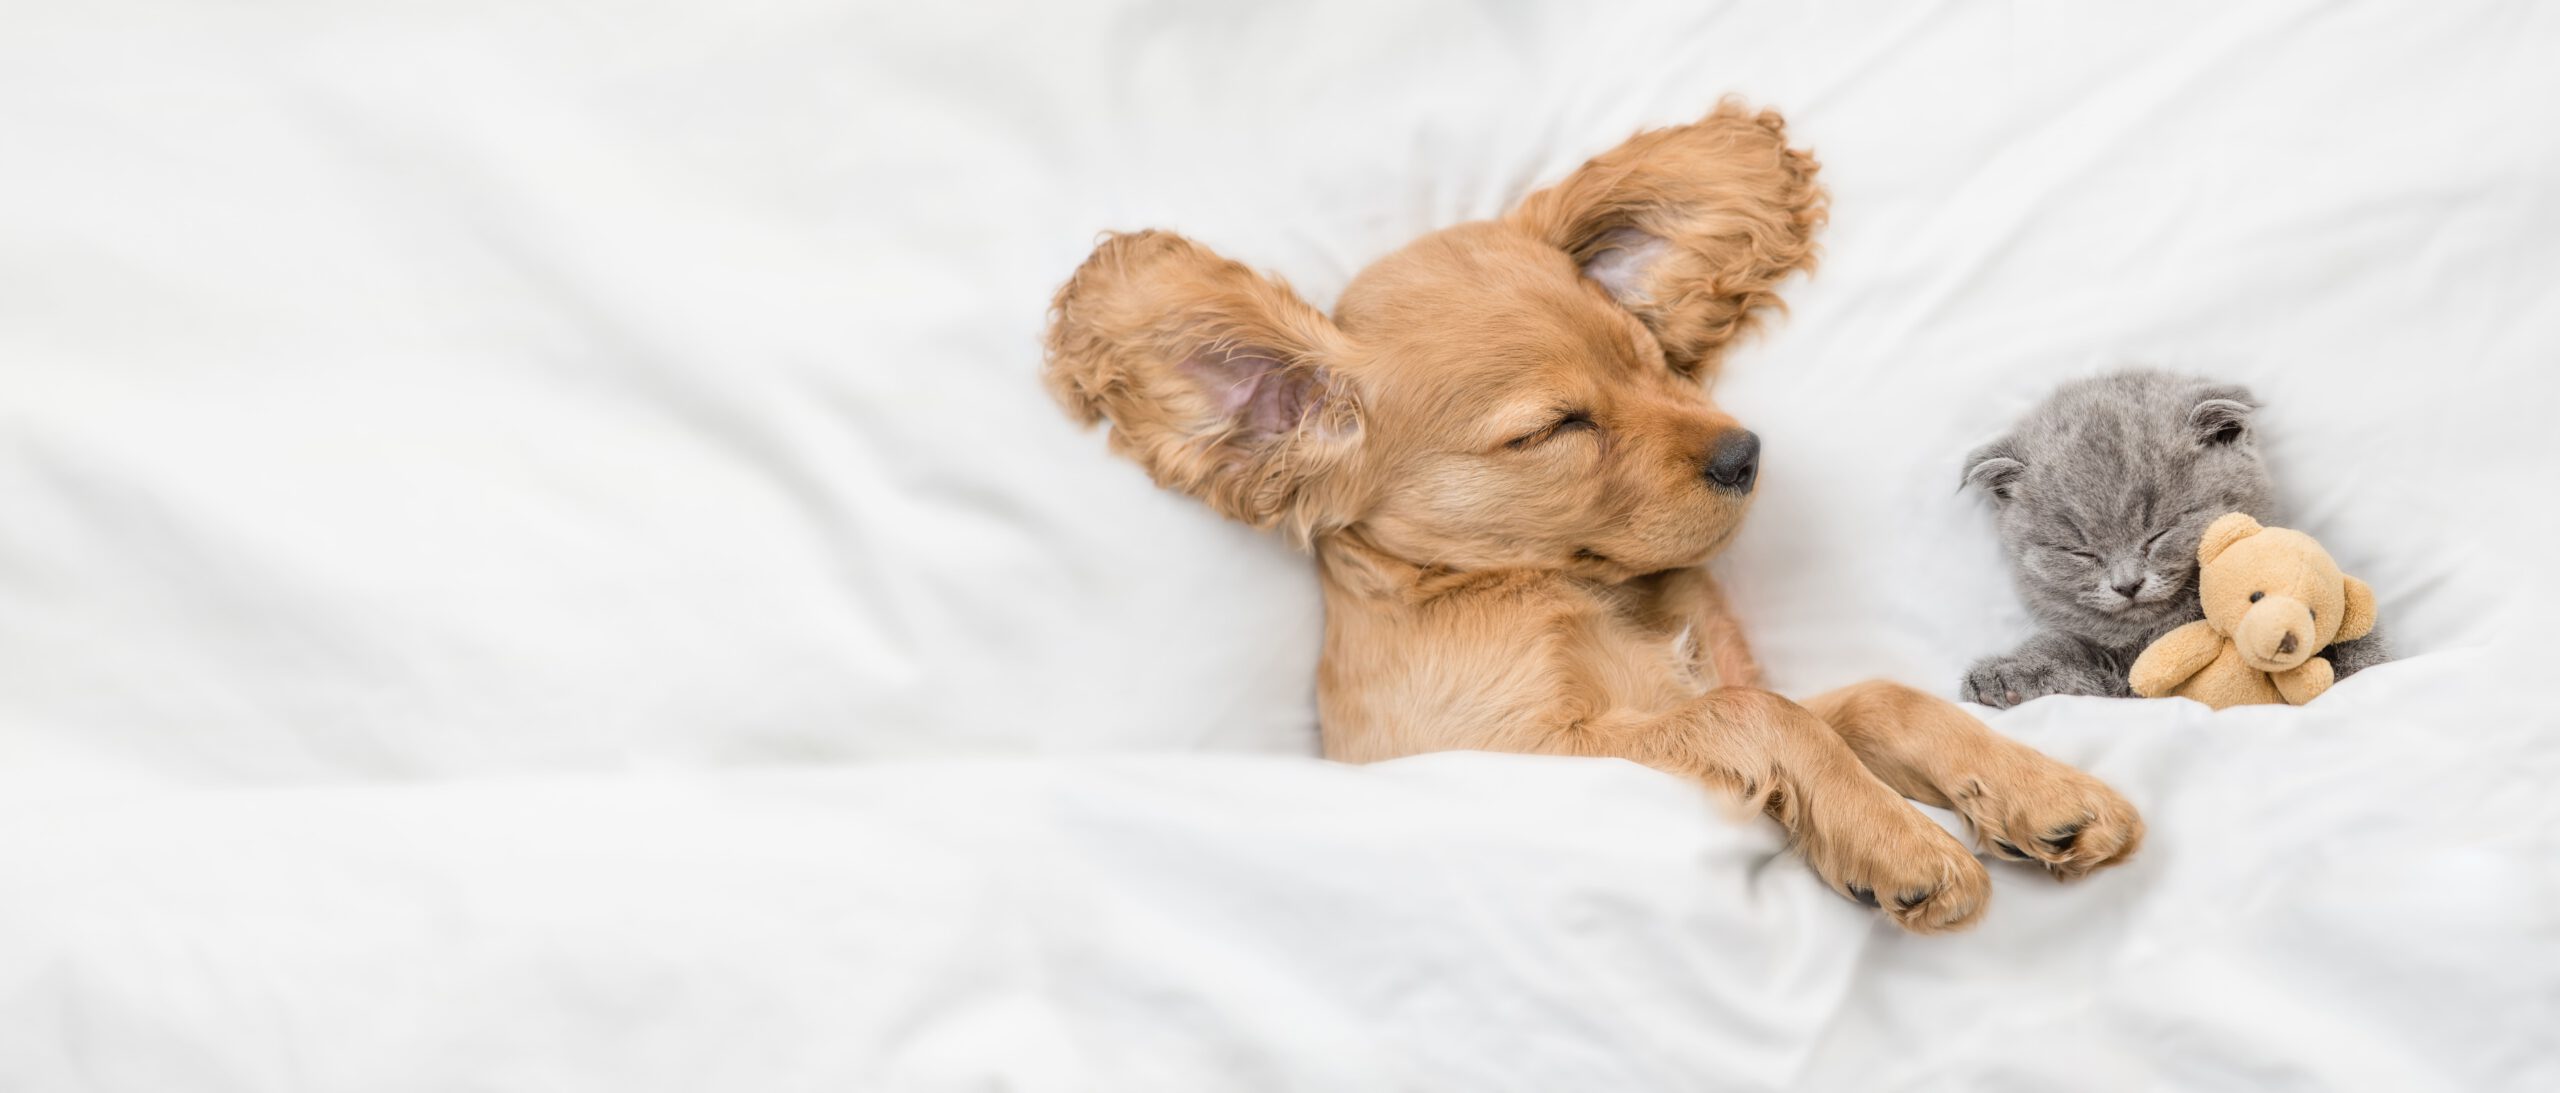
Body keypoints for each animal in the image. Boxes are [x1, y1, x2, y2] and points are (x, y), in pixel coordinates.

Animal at [1039, 98, 2140, 931]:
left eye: (1646, 356)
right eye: (1555, 427)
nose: (1745, 453)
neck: (1571, 592)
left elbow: (1875, 700)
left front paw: (2044, 792)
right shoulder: (1532, 754)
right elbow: (1760, 712)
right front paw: (1897, 841)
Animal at [1955, 371, 2396, 711]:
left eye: (2159, 532)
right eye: (2081, 552)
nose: (2127, 585)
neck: (2158, 629)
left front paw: (2354, 667)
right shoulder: (2119, 674)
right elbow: (2071, 658)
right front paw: (2007, 674)